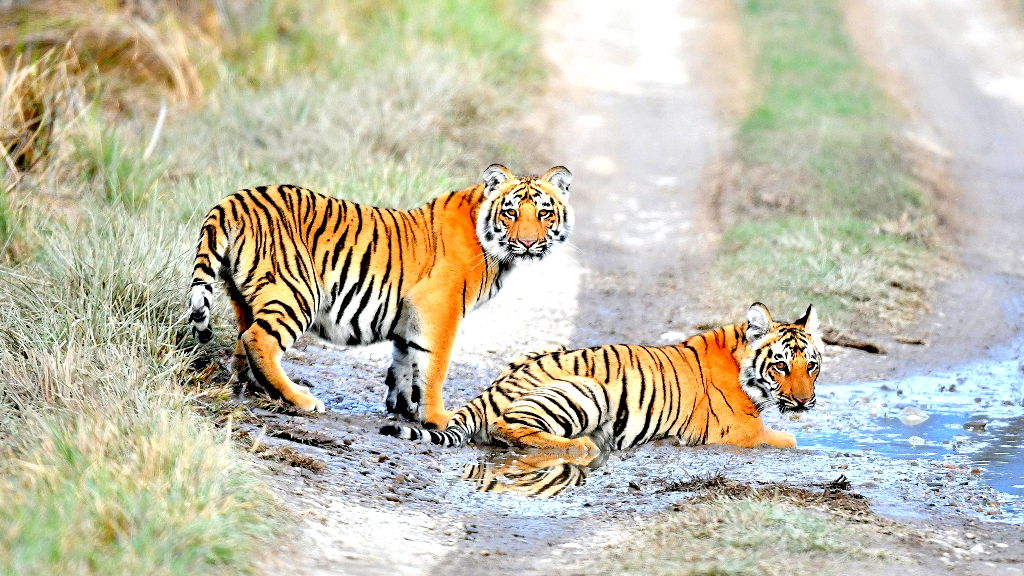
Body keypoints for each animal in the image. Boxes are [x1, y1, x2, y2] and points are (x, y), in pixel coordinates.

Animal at [188, 162, 573, 426]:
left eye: (544, 212)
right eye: (510, 212)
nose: (528, 242)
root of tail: (234, 200)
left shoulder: (410, 314)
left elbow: (405, 361)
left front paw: (403, 407)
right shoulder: (438, 308)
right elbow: (435, 366)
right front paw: (438, 417)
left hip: (244, 296)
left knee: (243, 340)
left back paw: (252, 387)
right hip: (297, 292)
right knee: (259, 340)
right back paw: (300, 399)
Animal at [382, 303, 823, 450]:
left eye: (812, 365)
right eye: (780, 365)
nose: (805, 401)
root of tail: (489, 391)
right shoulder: (739, 431)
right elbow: (789, 440)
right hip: (588, 390)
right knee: (507, 427)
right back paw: (581, 447)